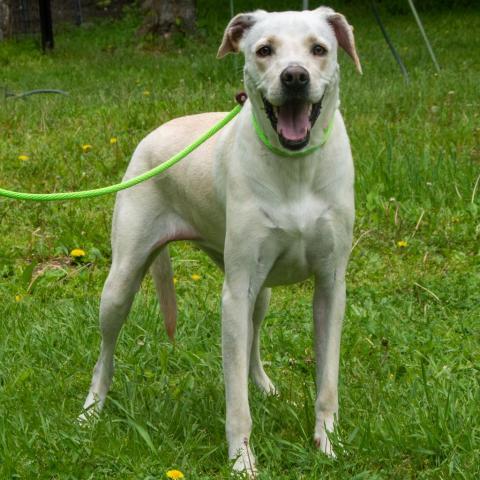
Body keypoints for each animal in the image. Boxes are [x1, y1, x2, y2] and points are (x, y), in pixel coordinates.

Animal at [80, 7, 362, 476]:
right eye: (264, 50)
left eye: (319, 49)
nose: (295, 77)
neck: (295, 168)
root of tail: (152, 134)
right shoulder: (234, 293)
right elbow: (236, 405)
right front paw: (242, 461)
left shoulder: (330, 287)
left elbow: (327, 384)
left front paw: (327, 446)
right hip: (121, 284)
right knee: (105, 353)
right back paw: (90, 411)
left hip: (259, 293)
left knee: (252, 341)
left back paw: (264, 385)